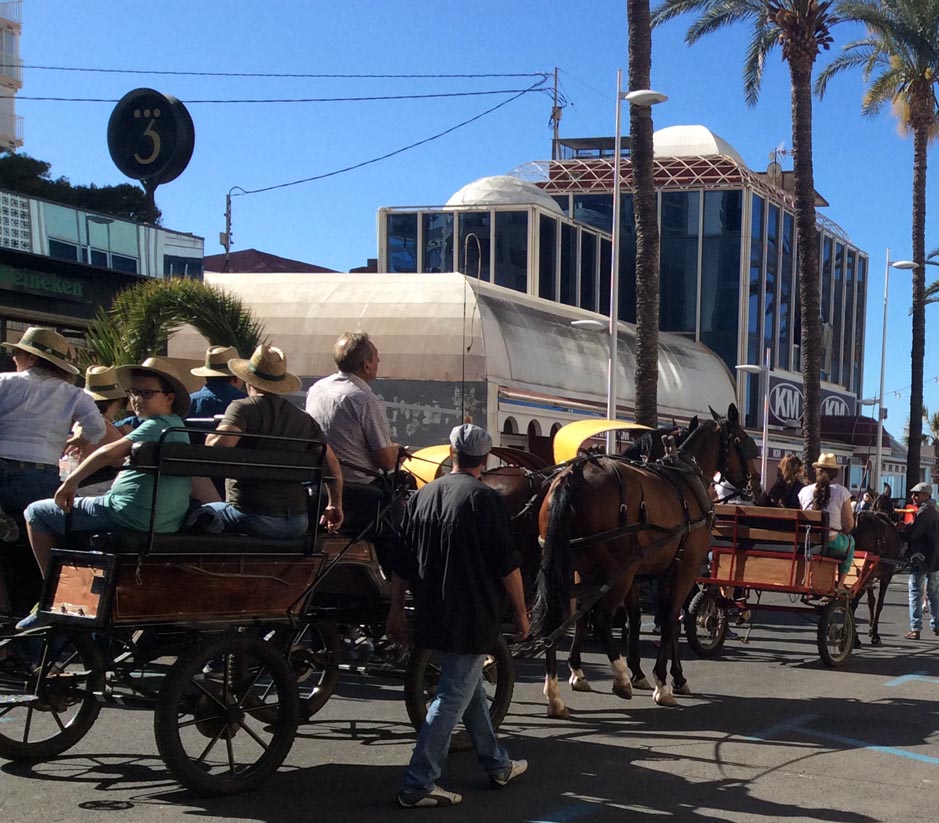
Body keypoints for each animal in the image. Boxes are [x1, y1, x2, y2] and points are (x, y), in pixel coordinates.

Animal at [532, 404, 759, 715]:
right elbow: (670, 620)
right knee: (601, 618)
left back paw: (555, 694)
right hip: (615, 571)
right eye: (742, 440)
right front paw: (663, 683)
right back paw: (620, 678)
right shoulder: (683, 569)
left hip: (568, 566)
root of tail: (573, 475)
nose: (755, 484)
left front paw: (661, 675)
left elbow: (644, 619)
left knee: (560, 616)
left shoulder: (645, 573)